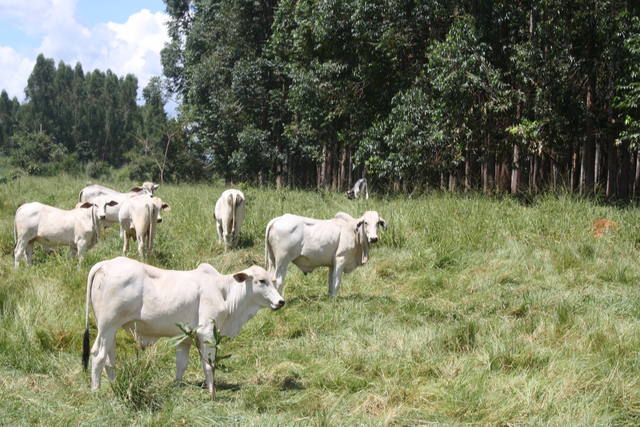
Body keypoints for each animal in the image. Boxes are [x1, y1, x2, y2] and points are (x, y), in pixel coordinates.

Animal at [83, 254, 284, 398]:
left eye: (272, 280)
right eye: (261, 281)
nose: (281, 301)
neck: (224, 292)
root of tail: (105, 263)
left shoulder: (185, 337)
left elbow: (181, 364)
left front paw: (177, 387)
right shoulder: (207, 332)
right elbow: (208, 365)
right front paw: (212, 393)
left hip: (110, 330)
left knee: (110, 359)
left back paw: (115, 386)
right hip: (107, 326)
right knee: (98, 356)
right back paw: (96, 391)